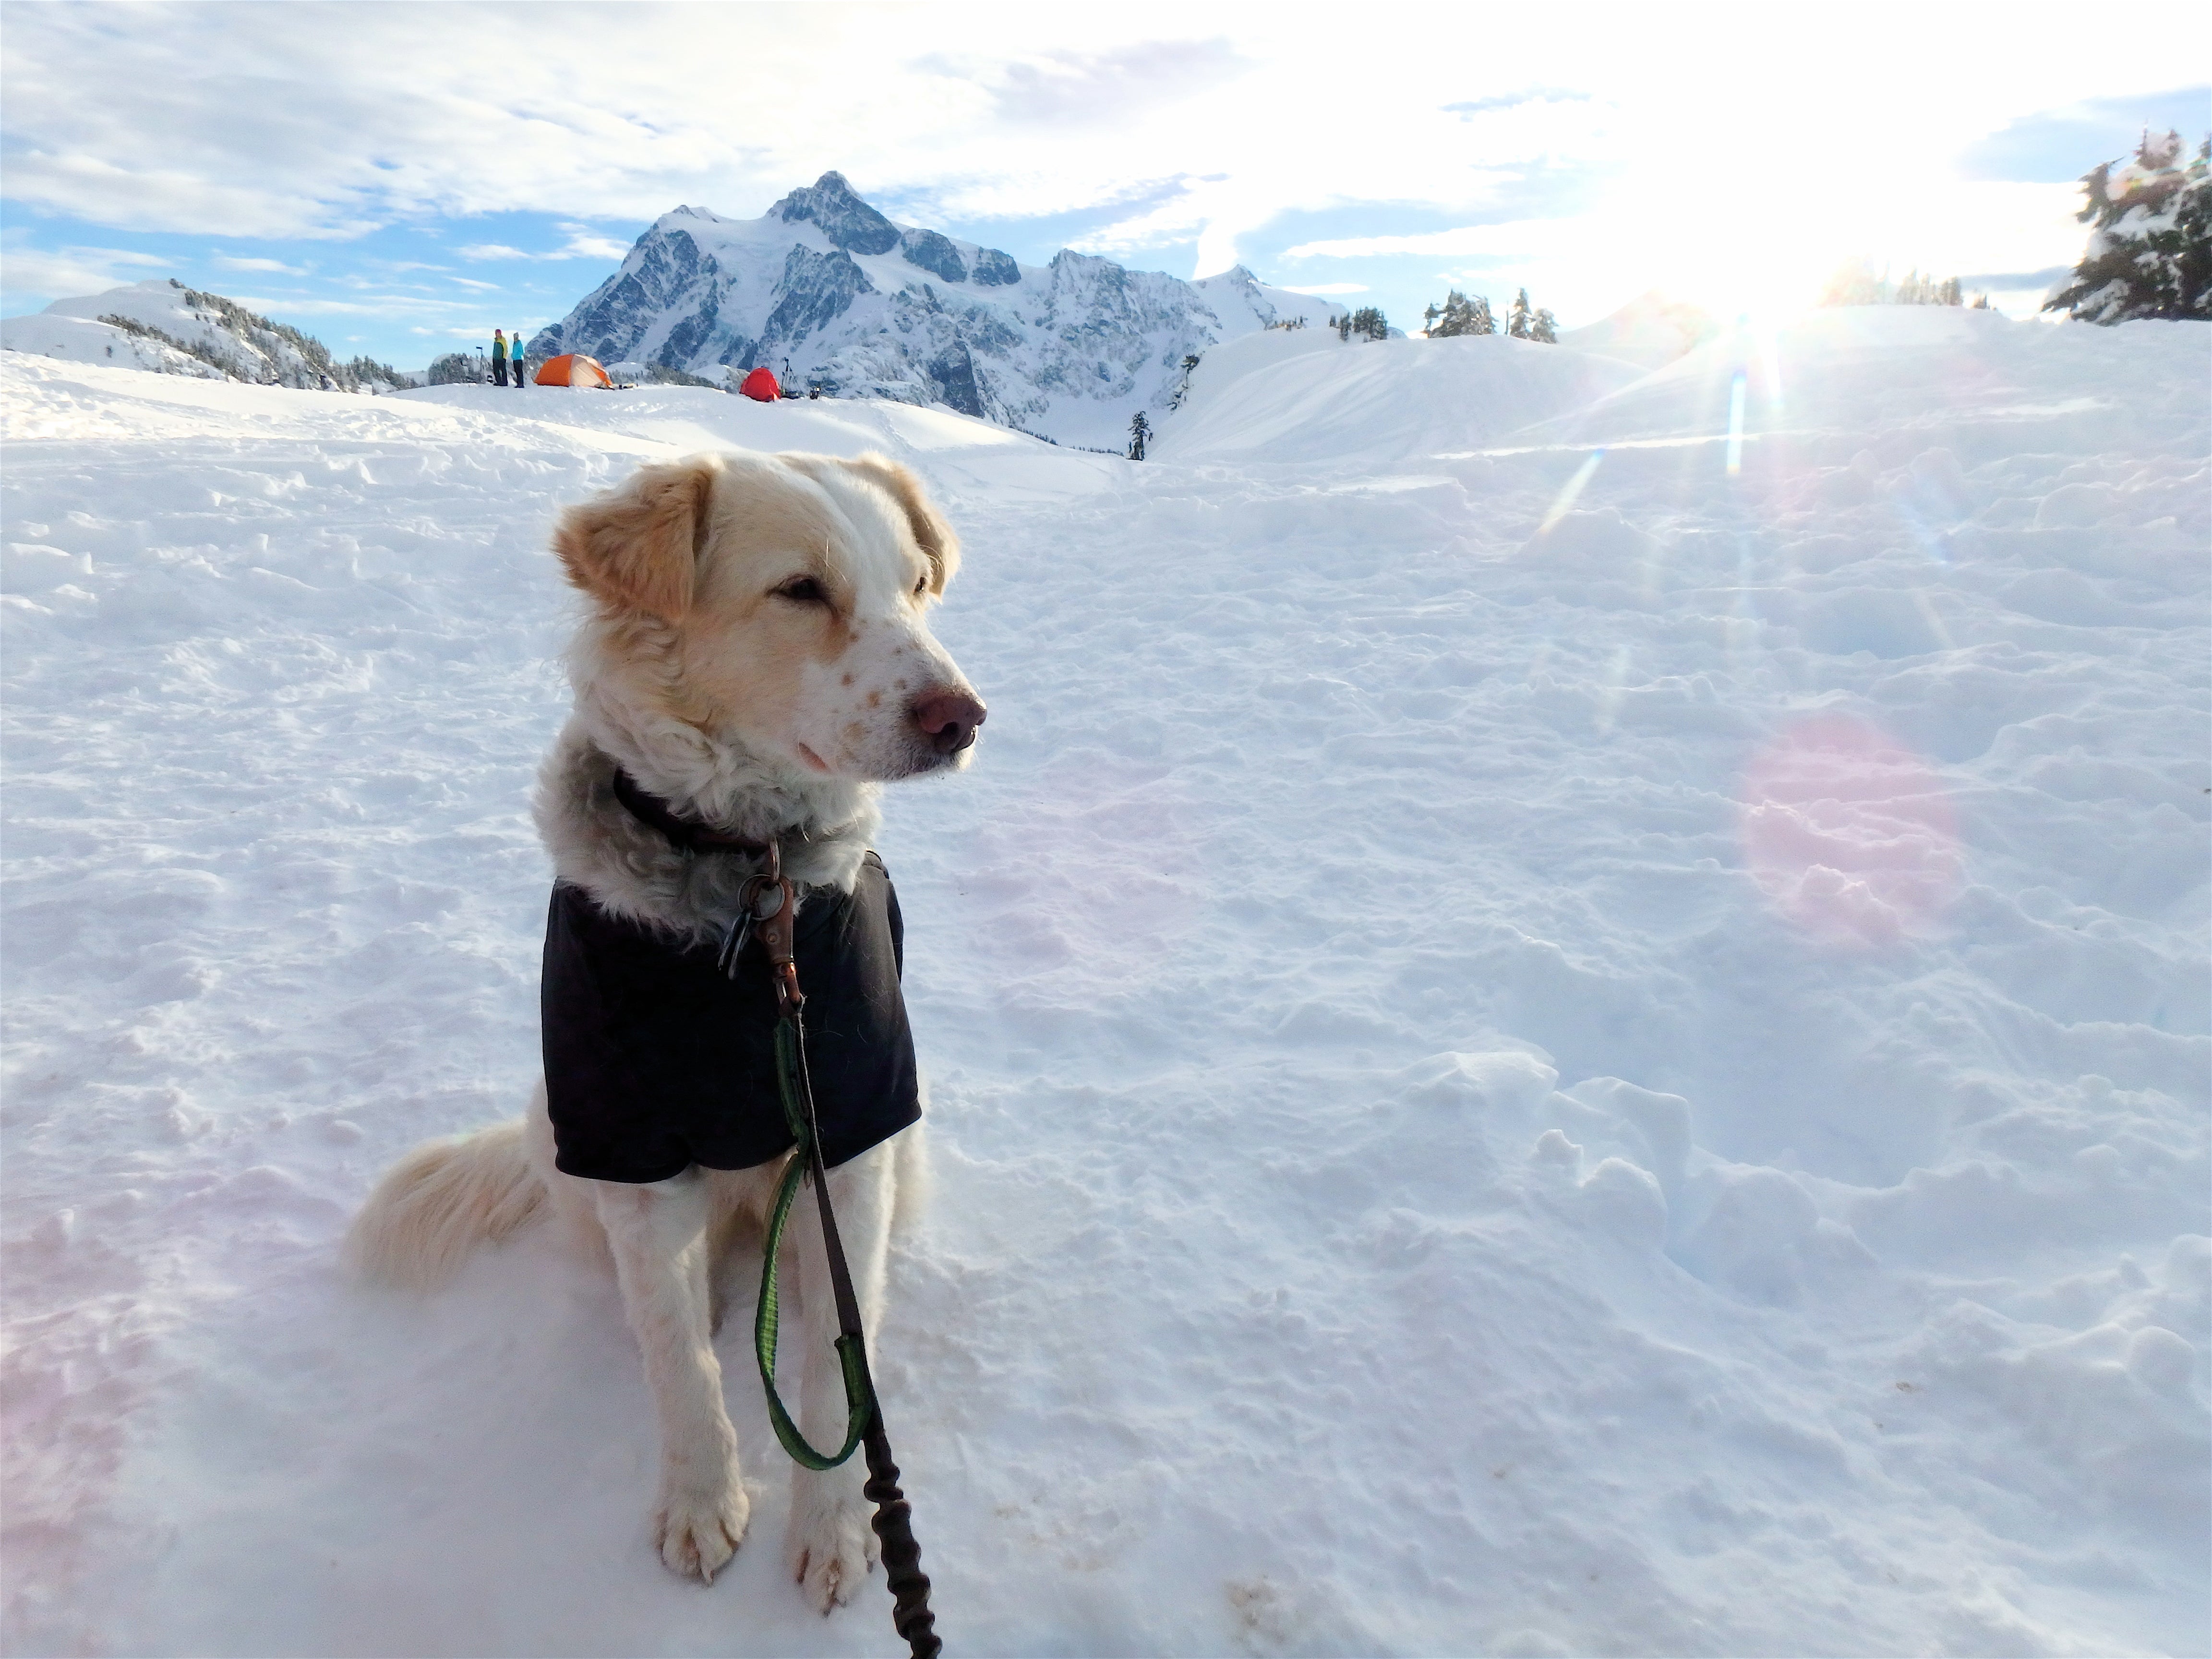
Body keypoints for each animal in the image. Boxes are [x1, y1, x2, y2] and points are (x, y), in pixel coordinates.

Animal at [351, 449, 986, 1619]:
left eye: (916, 585)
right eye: (800, 591)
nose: (960, 718)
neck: (750, 877)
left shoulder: (854, 1134)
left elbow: (835, 1365)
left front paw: (832, 1528)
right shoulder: (634, 1148)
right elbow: (677, 1361)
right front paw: (701, 1501)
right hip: (564, 1135)